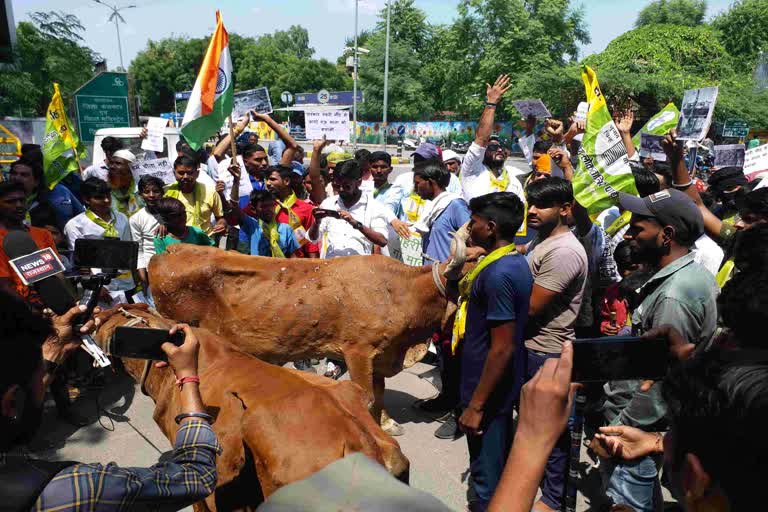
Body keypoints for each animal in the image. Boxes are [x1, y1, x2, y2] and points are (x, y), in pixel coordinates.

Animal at [147, 242, 464, 434]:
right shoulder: (358, 351)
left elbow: (381, 391)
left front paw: (387, 423)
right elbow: (369, 395)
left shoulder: (381, 353)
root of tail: (169, 250)